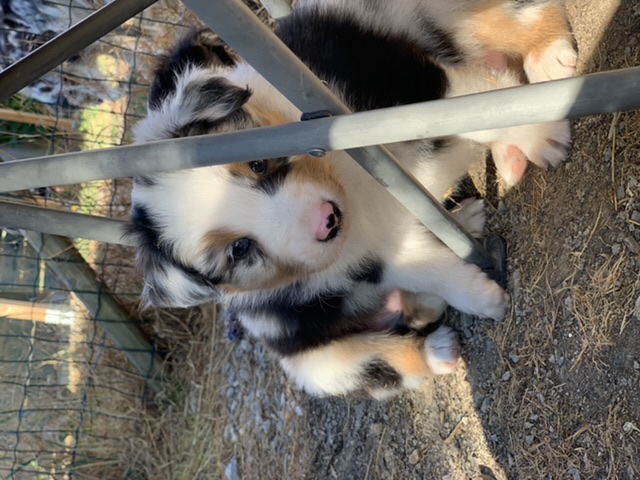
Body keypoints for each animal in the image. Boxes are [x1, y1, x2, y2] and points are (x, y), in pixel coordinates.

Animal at [127, 0, 576, 398]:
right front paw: (483, 300)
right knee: (385, 358)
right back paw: (438, 348)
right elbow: (433, 270)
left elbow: (478, 108)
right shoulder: (372, 259)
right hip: (320, 364)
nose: (327, 221)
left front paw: (539, 129)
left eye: (258, 163)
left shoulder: (397, 77)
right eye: (239, 249)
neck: (347, 178)